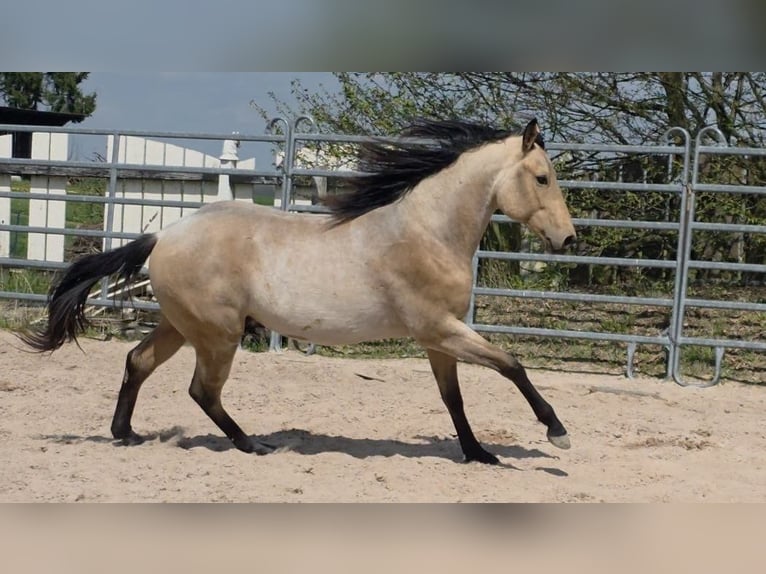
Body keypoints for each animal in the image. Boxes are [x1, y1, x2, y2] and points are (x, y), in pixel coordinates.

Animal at [21, 118, 576, 465]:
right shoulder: (440, 328)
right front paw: (557, 433)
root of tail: (164, 235)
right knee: (202, 390)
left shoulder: (438, 338)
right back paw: (253, 446)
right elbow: (511, 365)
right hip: (218, 334)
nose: (568, 239)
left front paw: (480, 454)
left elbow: (454, 399)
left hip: (182, 324)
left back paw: (127, 433)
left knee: (138, 362)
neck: (427, 232)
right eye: (542, 177)